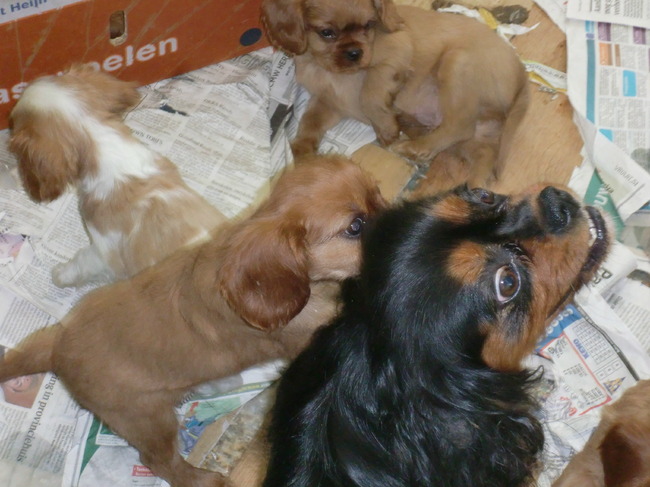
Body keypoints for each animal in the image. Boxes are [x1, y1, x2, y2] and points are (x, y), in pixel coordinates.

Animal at [0, 154, 386, 487]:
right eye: (356, 227)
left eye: (380, 193)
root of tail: (57, 347)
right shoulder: (305, 333)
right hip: (147, 419)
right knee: (160, 461)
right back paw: (201, 479)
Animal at [261, 0, 529, 185]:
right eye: (327, 32)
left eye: (369, 25)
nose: (355, 53)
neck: (333, 72)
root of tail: (521, 74)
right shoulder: (328, 102)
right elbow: (310, 121)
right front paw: (302, 150)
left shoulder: (396, 55)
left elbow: (370, 93)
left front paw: (387, 129)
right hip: (471, 141)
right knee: (483, 155)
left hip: (457, 62)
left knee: (460, 125)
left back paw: (411, 147)